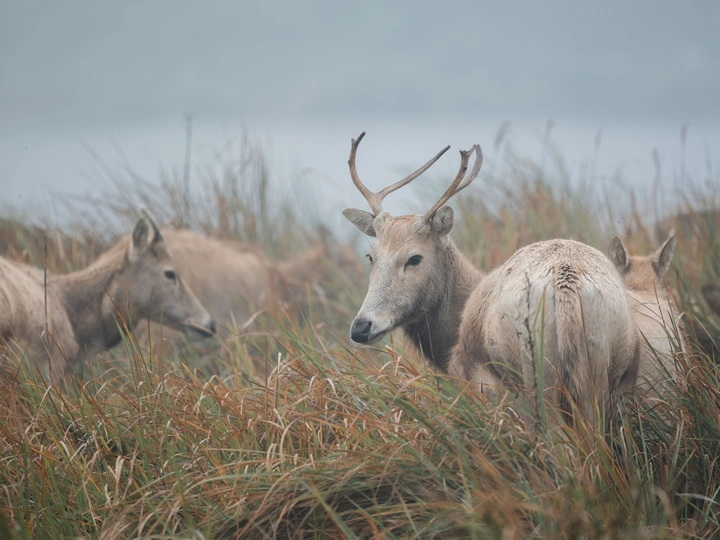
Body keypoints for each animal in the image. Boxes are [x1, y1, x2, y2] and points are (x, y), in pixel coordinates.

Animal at [343, 132, 639, 430]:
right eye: (371, 256)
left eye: (414, 258)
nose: (361, 327)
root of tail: (566, 286)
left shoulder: (472, 378)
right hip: (602, 372)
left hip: (536, 375)